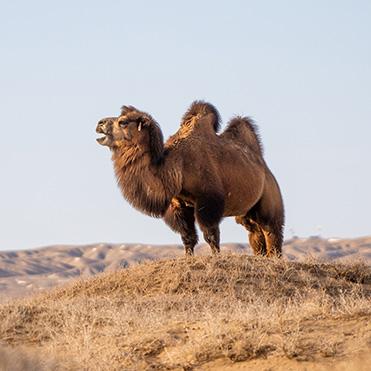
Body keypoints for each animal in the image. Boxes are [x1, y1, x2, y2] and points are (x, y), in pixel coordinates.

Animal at [96, 101, 284, 258]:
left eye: (123, 122)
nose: (99, 124)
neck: (177, 167)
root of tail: (264, 167)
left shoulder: (208, 200)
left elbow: (210, 234)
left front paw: (216, 257)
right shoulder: (178, 204)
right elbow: (188, 237)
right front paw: (188, 258)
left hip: (270, 198)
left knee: (271, 230)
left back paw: (275, 257)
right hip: (246, 212)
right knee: (255, 233)